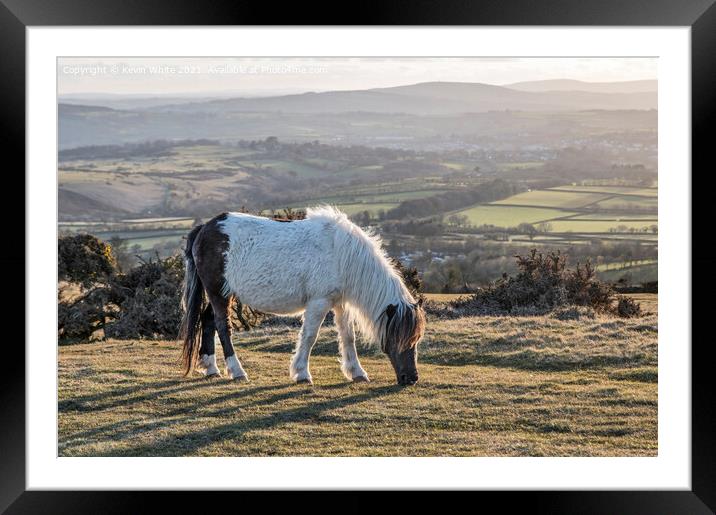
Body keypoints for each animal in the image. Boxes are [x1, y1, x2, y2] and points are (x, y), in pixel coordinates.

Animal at [179, 208, 426, 384]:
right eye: (400, 338)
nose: (411, 379)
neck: (340, 253)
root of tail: (206, 228)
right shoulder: (319, 302)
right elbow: (309, 336)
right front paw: (301, 373)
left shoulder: (340, 303)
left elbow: (348, 337)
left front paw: (357, 372)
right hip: (217, 292)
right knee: (223, 327)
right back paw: (237, 371)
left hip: (222, 293)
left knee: (208, 321)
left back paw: (211, 368)